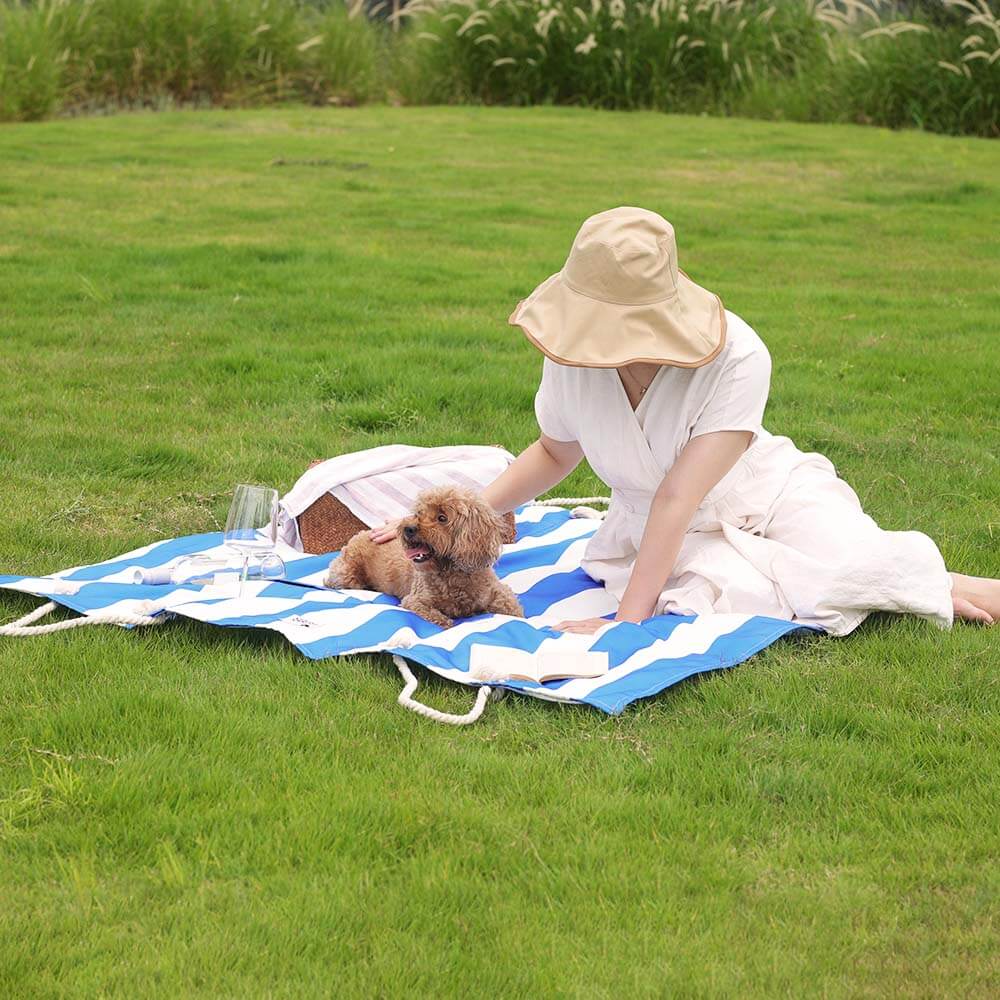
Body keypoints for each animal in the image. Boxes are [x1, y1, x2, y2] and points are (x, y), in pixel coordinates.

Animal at [324, 484, 524, 624]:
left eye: (442, 518)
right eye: (419, 513)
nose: (408, 528)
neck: (452, 573)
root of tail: (360, 534)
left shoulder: (498, 592)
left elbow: (513, 609)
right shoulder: (415, 601)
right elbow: (442, 621)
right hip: (346, 575)